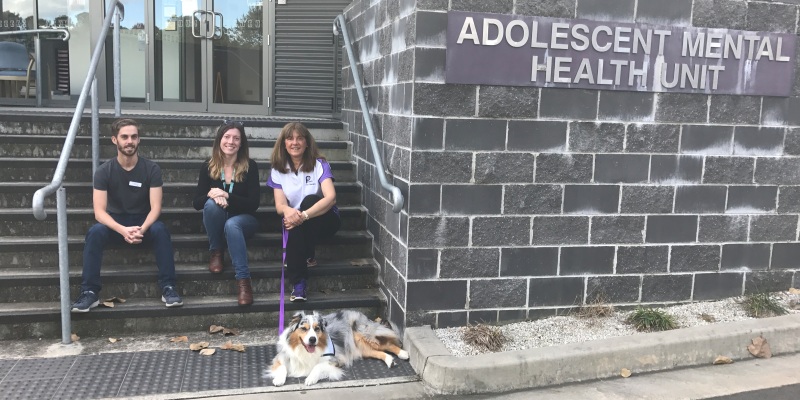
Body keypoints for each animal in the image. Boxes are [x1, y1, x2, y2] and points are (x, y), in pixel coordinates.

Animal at [268, 310, 410, 386]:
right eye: (304, 328)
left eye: (317, 329)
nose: (313, 339)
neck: (304, 351)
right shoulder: (281, 357)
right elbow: (282, 367)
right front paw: (279, 379)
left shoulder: (335, 359)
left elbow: (317, 366)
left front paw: (310, 378)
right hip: (362, 348)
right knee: (379, 352)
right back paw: (390, 361)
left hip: (365, 335)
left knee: (388, 344)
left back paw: (403, 353)